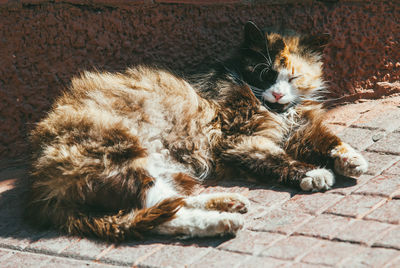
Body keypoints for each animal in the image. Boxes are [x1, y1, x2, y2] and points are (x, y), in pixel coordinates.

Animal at [25, 22, 368, 242]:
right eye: (267, 74)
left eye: (293, 78)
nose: (279, 94)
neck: (277, 110)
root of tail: (40, 188)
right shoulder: (238, 139)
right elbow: (279, 159)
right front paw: (314, 174)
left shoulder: (299, 130)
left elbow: (330, 140)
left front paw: (352, 160)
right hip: (121, 152)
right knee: (160, 212)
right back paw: (223, 221)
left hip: (156, 168)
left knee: (169, 205)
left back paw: (227, 204)